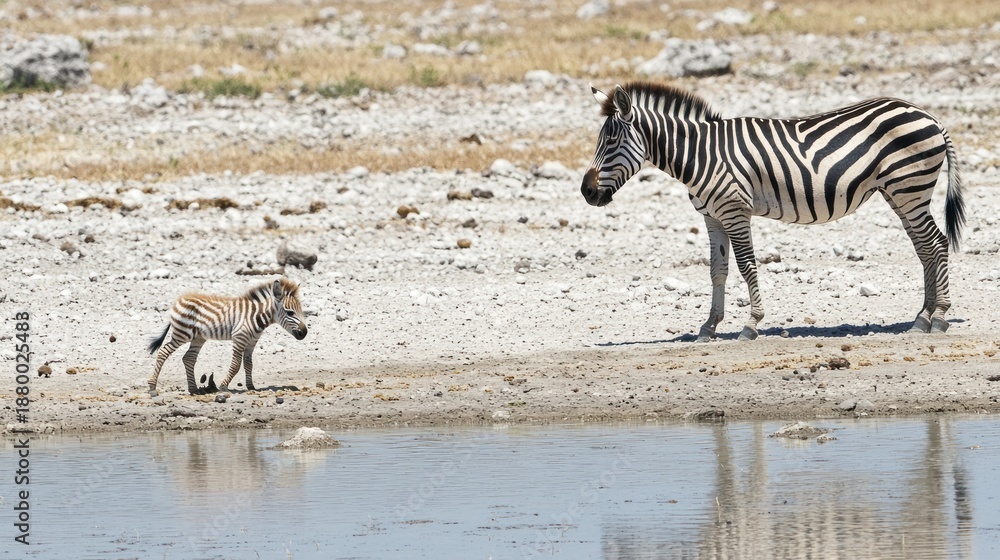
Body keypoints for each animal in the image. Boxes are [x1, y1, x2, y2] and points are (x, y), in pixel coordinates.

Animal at [147, 277, 308, 396]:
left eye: (301, 311)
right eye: (290, 312)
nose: (304, 333)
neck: (255, 316)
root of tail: (177, 301)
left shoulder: (252, 341)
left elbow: (248, 364)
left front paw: (251, 386)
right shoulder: (240, 337)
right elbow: (236, 365)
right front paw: (224, 386)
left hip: (198, 338)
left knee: (188, 358)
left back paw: (193, 389)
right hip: (182, 334)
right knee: (163, 352)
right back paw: (152, 388)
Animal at [582, 81, 966, 341]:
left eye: (611, 142)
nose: (586, 192)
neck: (702, 155)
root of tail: (930, 116)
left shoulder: (735, 211)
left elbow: (747, 266)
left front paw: (751, 324)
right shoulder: (711, 217)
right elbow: (717, 270)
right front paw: (709, 326)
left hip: (909, 188)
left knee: (936, 243)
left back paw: (940, 317)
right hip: (899, 193)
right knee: (924, 248)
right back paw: (922, 317)